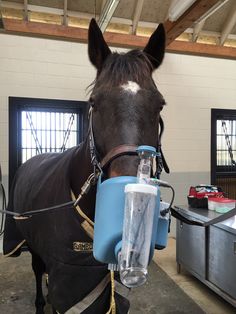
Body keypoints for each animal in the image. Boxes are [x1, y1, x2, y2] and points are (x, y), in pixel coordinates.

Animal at [3, 19, 166, 314]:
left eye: (159, 104)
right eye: (94, 102)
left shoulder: (107, 283)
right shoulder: (69, 280)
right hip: (29, 241)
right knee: (37, 270)